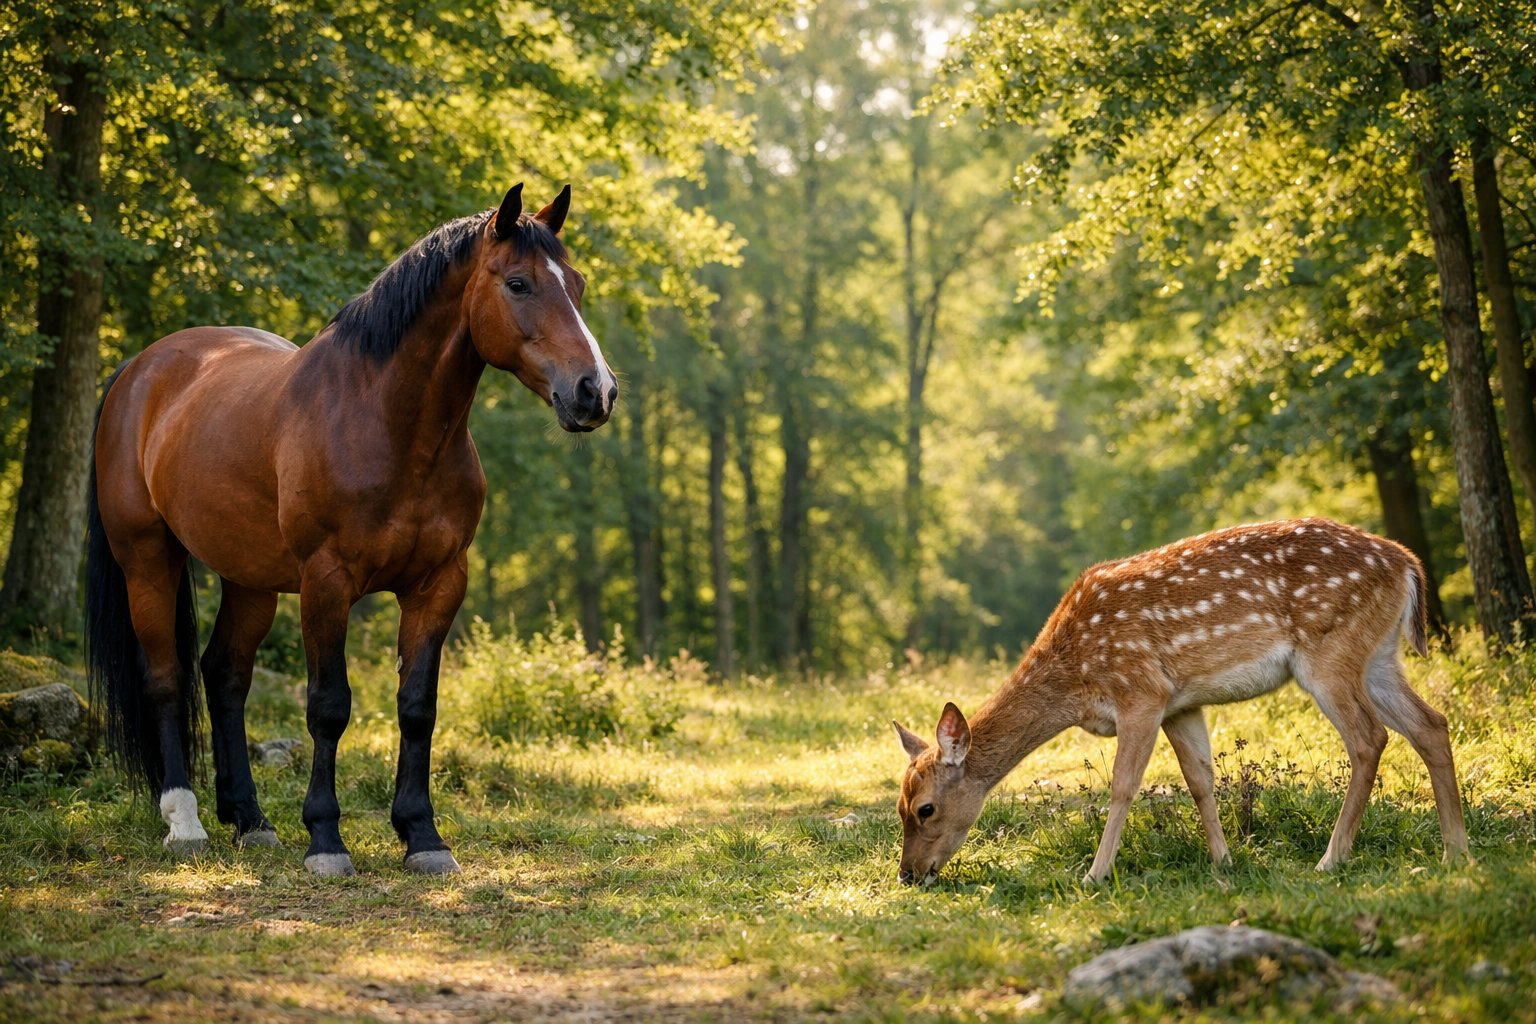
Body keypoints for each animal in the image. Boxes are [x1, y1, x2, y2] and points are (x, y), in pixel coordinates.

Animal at [85, 184, 616, 875]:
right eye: (519, 283)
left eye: (575, 284)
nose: (595, 392)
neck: (387, 424)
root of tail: (138, 370)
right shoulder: (327, 583)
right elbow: (328, 706)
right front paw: (326, 838)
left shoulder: (438, 586)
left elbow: (417, 708)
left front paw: (422, 835)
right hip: (148, 560)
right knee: (167, 679)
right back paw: (185, 820)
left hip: (249, 578)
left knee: (224, 676)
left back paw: (250, 820)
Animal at [892, 518, 1469, 886]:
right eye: (898, 807)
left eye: (926, 808)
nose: (909, 874)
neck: (1074, 676)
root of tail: (1407, 564)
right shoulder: (1181, 704)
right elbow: (1200, 782)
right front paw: (1224, 863)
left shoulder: (1142, 692)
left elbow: (1123, 785)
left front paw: (1095, 874)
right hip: (1379, 656)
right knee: (1432, 723)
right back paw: (1454, 851)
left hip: (1331, 650)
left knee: (1370, 738)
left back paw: (1333, 859)